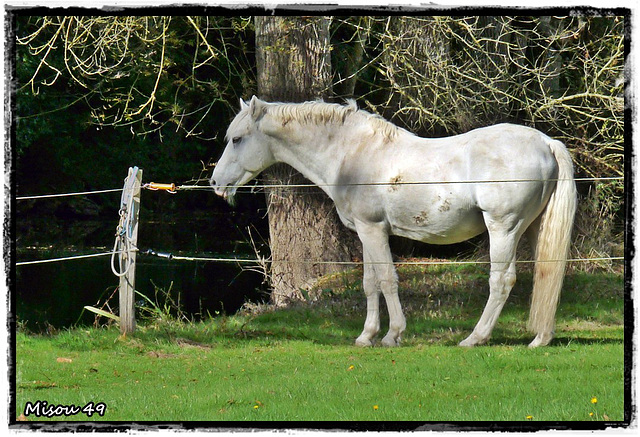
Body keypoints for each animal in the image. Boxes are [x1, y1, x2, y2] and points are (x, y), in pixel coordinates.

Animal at [212, 96, 576, 348]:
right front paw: (366, 336)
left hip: (503, 228)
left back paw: (475, 338)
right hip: (533, 228)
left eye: (237, 139)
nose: (216, 184)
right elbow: (369, 283)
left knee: (501, 281)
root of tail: (546, 143)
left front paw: (392, 335)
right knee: (546, 273)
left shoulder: (373, 229)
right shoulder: (365, 231)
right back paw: (540, 338)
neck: (351, 153)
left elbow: (388, 280)